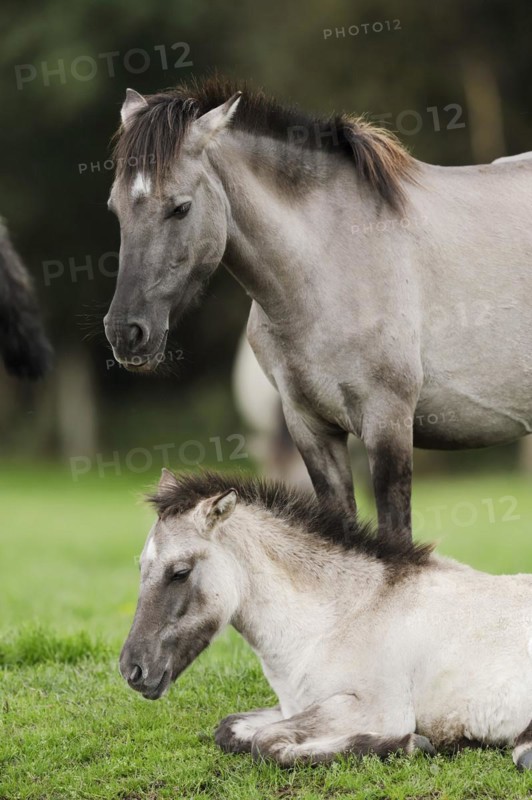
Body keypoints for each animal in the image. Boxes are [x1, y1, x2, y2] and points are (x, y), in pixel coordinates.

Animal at [104, 77, 532, 545]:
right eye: (115, 208)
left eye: (180, 207)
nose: (126, 332)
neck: (330, 263)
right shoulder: (311, 428)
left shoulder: (388, 424)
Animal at [120, 468, 532, 769]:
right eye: (140, 568)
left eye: (180, 572)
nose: (132, 670)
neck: (338, 619)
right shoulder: (294, 706)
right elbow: (230, 729)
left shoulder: (376, 710)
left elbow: (266, 744)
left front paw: (411, 744)